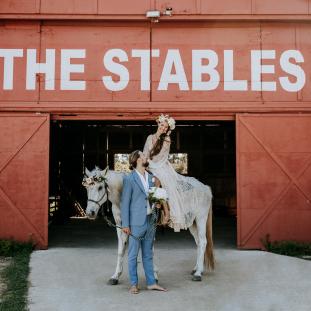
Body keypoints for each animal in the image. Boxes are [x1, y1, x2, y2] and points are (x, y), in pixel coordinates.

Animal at [83, 168, 214, 286]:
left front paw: (154, 275)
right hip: (192, 223)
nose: (90, 213)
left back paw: (198, 274)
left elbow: (149, 250)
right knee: (198, 242)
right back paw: (196, 269)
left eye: (100, 187)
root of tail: (205, 188)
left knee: (203, 242)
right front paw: (115, 276)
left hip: (201, 219)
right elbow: (121, 250)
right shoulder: (121, 226)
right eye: (87, 188)